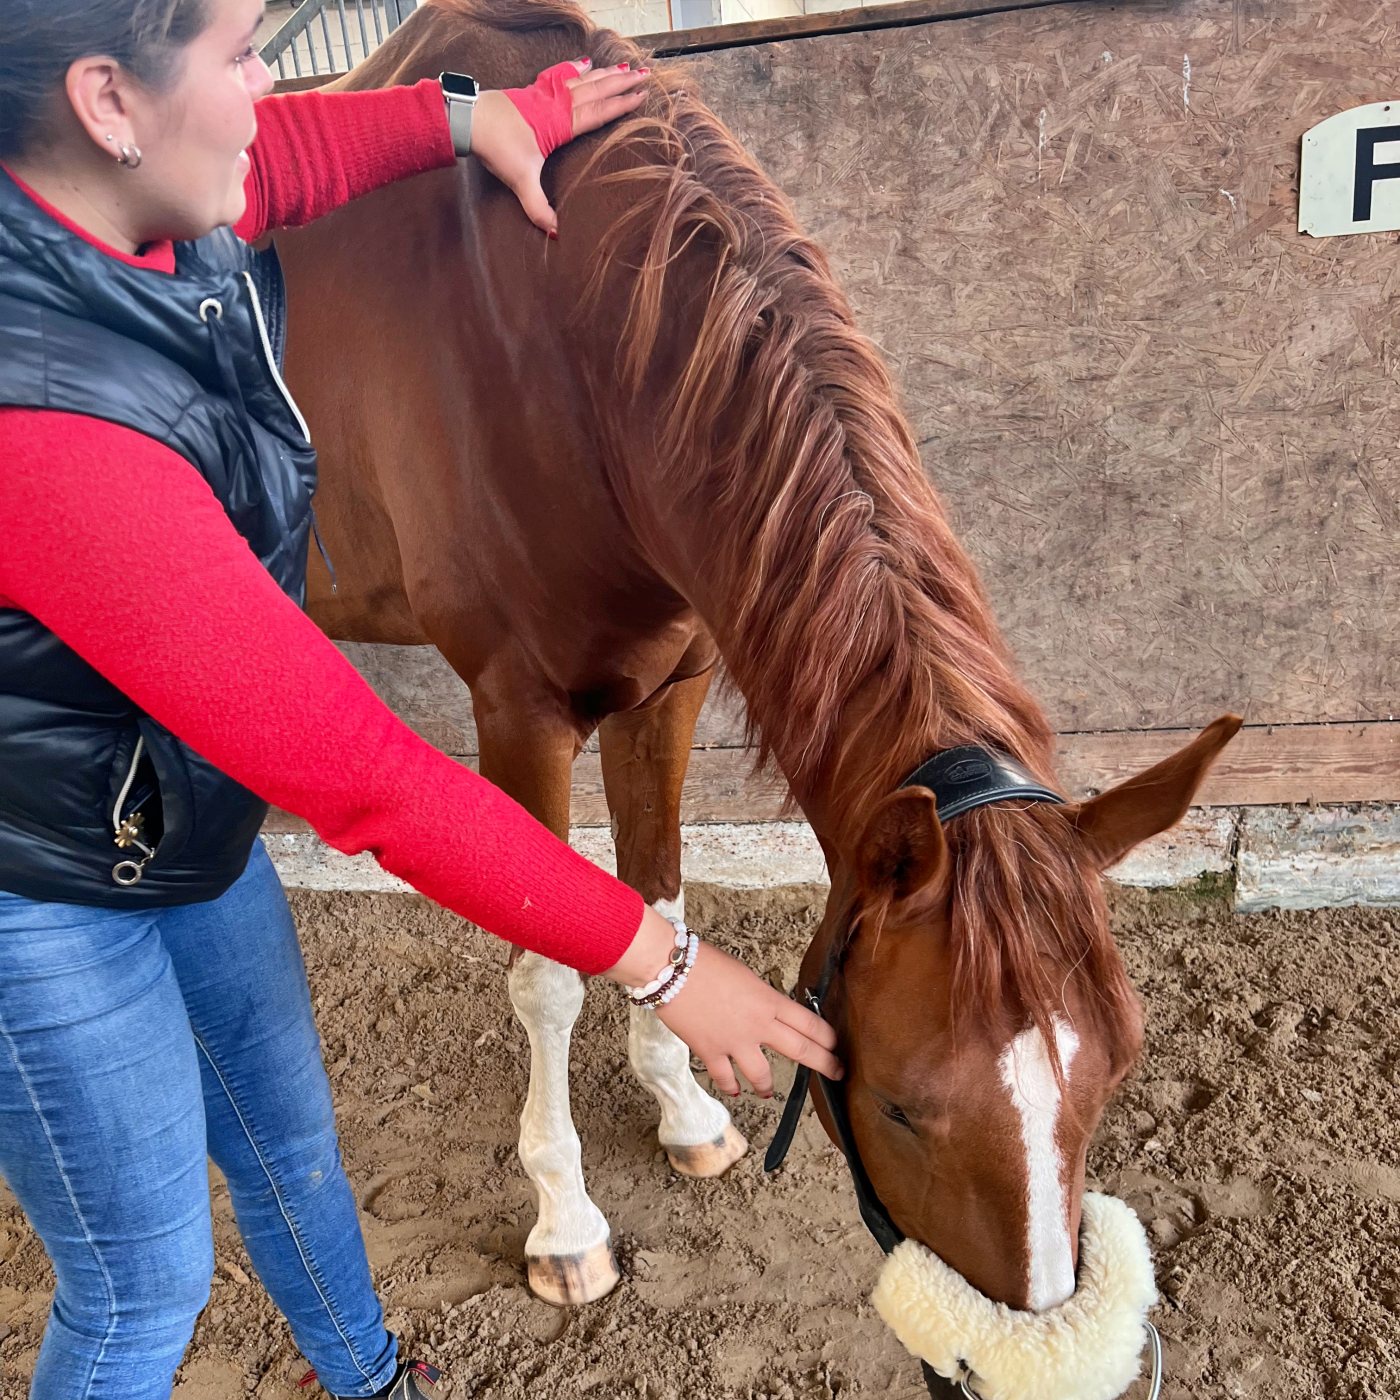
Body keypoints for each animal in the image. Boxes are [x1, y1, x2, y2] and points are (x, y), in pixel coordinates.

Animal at [275, 0, 1240, 1320]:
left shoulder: (664, 690)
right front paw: (565, 1220)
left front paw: (683, 1107)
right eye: (898, 1101)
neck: (552, 336)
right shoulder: (518, 711)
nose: (1040, 1329)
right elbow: (549, 972)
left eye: (1117, 1064)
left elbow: (655, 902)